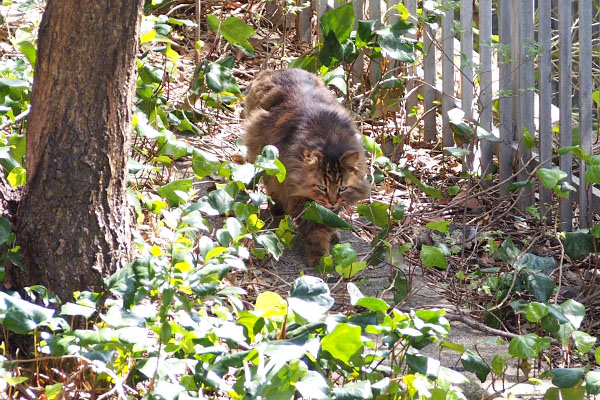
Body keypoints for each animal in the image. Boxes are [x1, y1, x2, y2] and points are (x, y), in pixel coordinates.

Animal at [244, 68, 370, 266]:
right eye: (321, 187)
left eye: (342, 188)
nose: (332, 202)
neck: (329, 142)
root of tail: (279, 70)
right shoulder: (300, 199)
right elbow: (315, 232)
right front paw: (319, 258)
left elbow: (329, 222)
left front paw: (332, 233)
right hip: (265, 156)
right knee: (271, 186)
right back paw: (277, 209)